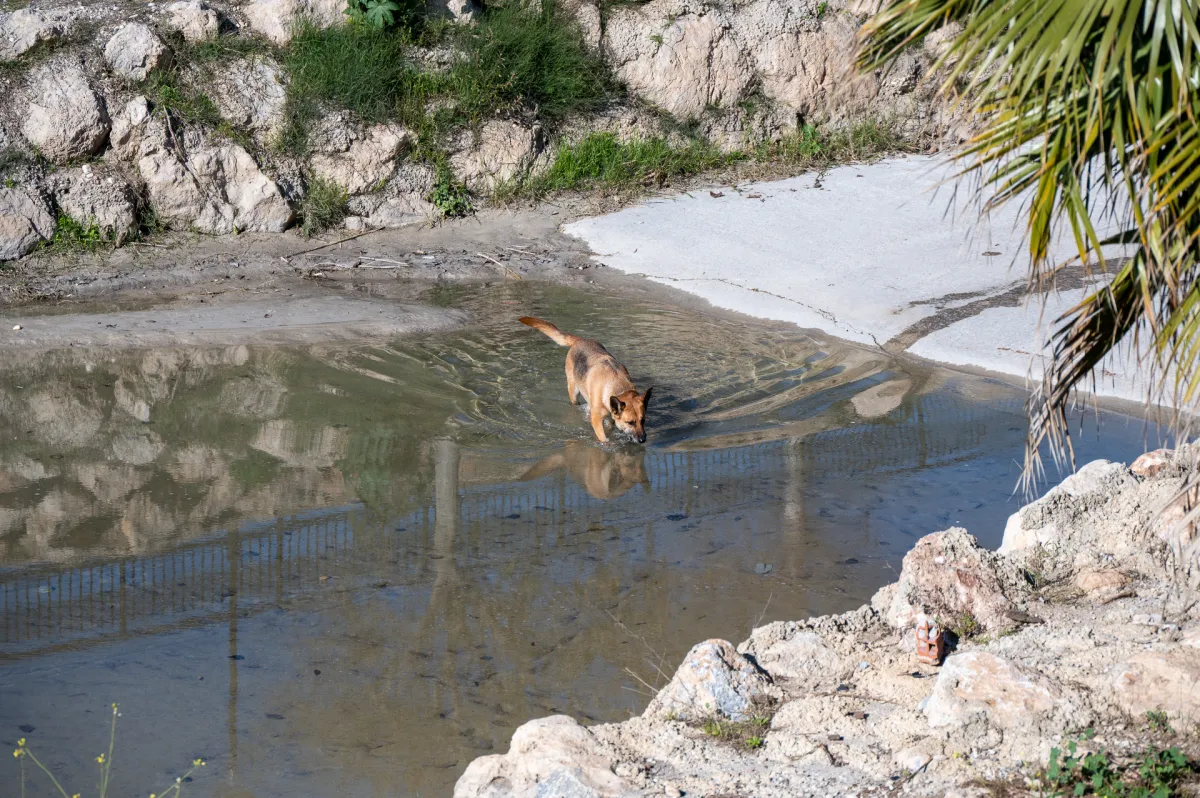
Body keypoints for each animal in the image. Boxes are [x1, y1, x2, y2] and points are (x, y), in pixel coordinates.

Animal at [520, 316, 657, 441]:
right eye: (630, 422)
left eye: (643, 420)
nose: (643, 440)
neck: (617, 385)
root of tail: (580, 340)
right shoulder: (596, 419)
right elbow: (603, 438)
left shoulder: (611, 417)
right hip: (574, 392)